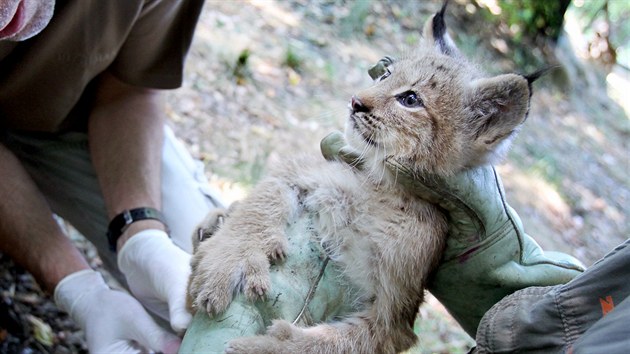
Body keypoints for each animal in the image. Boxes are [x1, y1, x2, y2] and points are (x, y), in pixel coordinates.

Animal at [189, 3, 540, 354]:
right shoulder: (303, 170)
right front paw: (231, 258)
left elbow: (336, 342)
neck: (381, 186)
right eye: (385, 75)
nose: (355, 101)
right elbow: (262, 204)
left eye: (410, 100)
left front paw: (272, 347)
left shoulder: (394, 313)